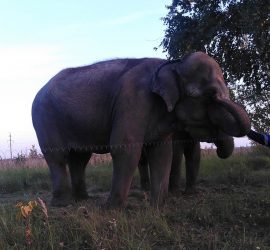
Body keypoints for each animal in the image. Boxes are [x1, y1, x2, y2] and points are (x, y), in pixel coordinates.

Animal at [32, 51, 251, 207]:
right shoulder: (133, 100)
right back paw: (62, 204)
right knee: (57, 156)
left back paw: (83, 200)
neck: (172, 64)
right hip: (45, 119)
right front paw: (110, 209)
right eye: (208, 96)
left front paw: (157, 206)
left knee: (80, 158)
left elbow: (162, 152)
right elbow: (125, 147)